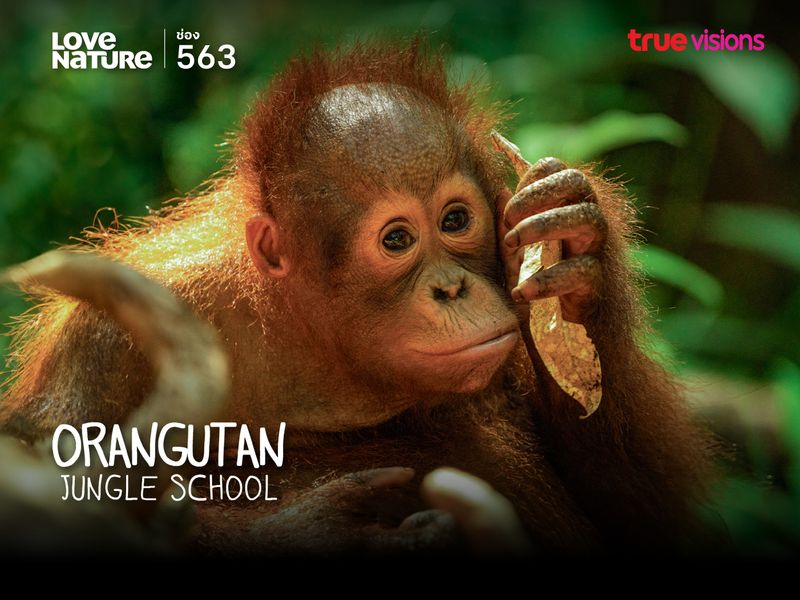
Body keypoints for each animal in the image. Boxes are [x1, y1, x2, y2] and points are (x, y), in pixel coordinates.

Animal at [0, 40, 713, 555]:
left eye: (456, 220)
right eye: (397, 239)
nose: (452, 288)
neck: (321, 348)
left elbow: (641, 521)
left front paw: (576, 252)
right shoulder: (101, 341)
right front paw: (320, 528)